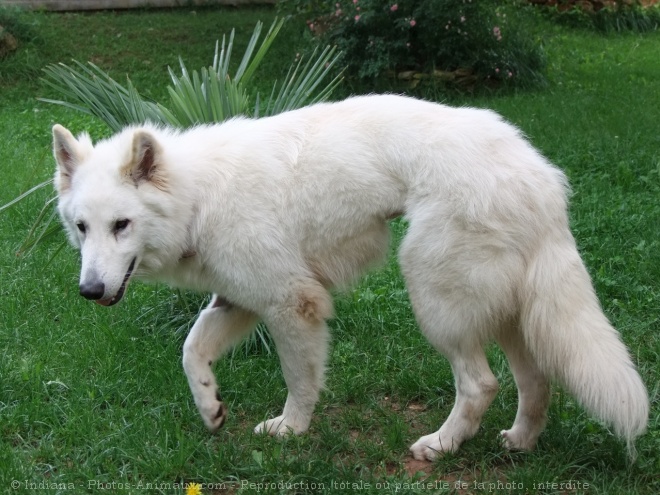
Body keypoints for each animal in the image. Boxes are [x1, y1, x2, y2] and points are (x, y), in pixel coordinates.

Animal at [52, 96, 648, 462]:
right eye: (82, 227)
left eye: (122, 225)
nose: (89, 292)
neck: (199, 195)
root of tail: (538, 175)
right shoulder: (241, 299)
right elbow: (191, 350)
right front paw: (210, 409)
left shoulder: (292, 304)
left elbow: (299, 379)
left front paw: (291, 429)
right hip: (508, 311)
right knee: (536, 380)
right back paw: (520, 441)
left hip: (436, 299)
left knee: (481, 384)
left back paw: (441, 445)